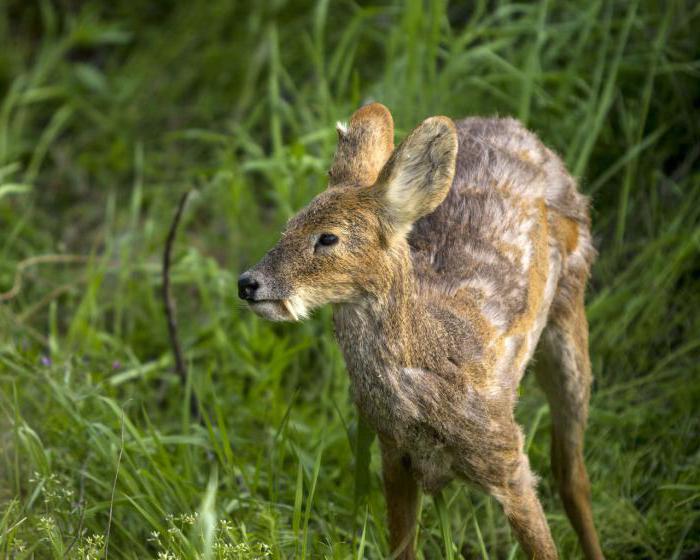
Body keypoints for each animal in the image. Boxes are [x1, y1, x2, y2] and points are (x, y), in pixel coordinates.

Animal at [238, 101, 604, 560]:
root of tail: (513, 125)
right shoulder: (393, 456)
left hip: (570, 306)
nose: (248, 282)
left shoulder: (506, 455)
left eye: (328, 238)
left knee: (571, 471)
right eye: (288, 225)